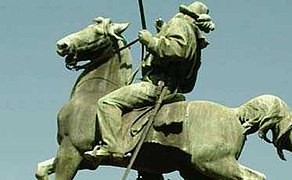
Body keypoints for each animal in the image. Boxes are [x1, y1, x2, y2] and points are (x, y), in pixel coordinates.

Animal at [34, 16, 292, 179]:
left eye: (96, 32)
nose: (62, 45)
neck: (93, 95)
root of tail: (234, 112)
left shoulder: (70, 150)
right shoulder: (85, 160)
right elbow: (40, 169)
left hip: (215, 163)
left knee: (255, 177)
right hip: (196, 170)